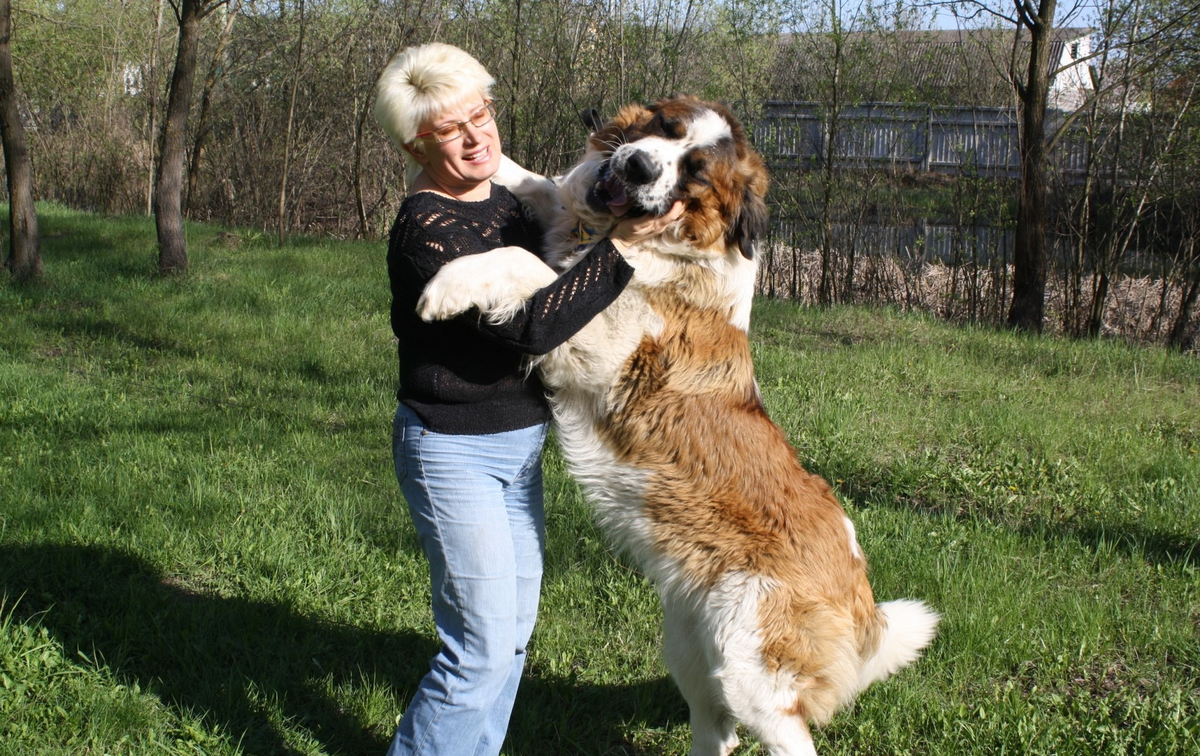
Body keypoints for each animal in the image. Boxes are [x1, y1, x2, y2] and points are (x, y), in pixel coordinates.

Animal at [420, 97, 936, 753]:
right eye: (666, 128)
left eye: (694, 172)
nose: (639, 166)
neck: (638, 238)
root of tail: (863, 591)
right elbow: (538, 184)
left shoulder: (603, 346)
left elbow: (524, 263)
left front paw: (449, 283)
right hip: (692, 648)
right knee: (718, 730)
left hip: (754, 670)